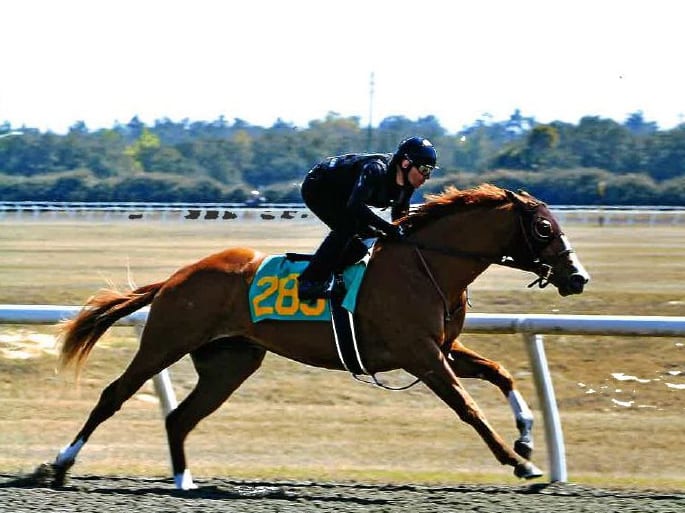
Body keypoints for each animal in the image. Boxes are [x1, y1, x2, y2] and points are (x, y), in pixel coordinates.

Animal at [45, 183, 588, 488]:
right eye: (543, 228)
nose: (578, 277)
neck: (427, 264)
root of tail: (178, 276)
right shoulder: (420, 354)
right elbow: (468, 407)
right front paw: (517, 462)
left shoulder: (441, 348)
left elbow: (500, 373)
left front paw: (525, 438)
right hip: (166, 340)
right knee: (114, 395)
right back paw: (60, 463)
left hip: (231, 363)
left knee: (180, 418)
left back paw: (184, 482)